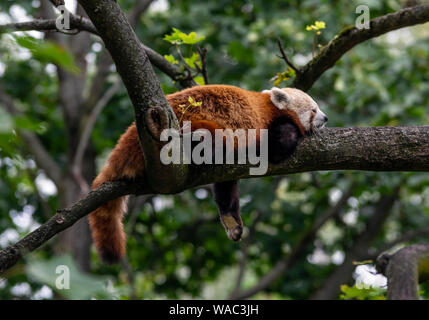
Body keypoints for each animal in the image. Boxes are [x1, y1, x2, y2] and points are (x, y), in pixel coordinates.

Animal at [88, 84, 326, 262]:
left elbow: (225, 189)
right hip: (192, 122)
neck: (270, 106)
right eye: (314, 109)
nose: (325, 118)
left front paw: (231, 221)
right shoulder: (271, 123)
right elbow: (280, 143)